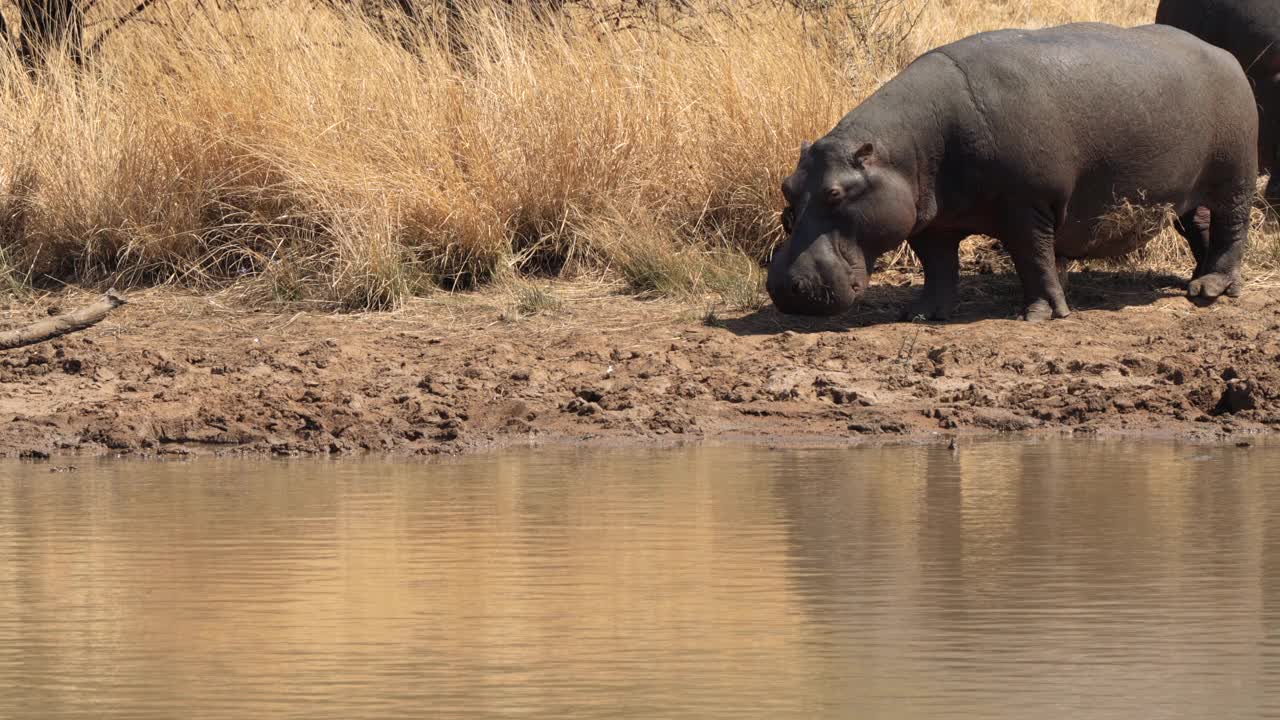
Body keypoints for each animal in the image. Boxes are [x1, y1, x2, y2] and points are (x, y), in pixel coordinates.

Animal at [762, 23, 1254, 319]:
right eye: (788, 188)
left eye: (835, 194)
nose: (787, 287)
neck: (905, 149)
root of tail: (1224, 54)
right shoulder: (930, 220)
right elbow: (937, 266)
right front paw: (922, 313)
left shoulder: (1027, 206)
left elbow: (1033, 259)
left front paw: (1040, 315)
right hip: (1188, 192)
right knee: (1202, 226)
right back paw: (1193, 278)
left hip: (1234, 177)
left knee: (1233, 228)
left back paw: (1209, 290)